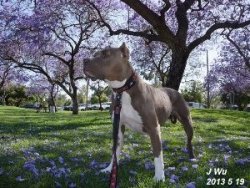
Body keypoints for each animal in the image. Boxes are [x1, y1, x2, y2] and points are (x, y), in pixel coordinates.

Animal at [84, 43, 195, 182]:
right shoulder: (117, 128)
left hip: (187, 122)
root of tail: (174, 91)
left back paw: (192, 157)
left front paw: (159, 177)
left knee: (188, 141)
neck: (123, 90)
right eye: (94, 54)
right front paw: (109, 169)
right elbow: (115, 151)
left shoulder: (154, 128)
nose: (84, 61)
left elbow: (158, 155)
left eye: (105, 54)